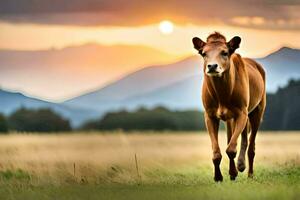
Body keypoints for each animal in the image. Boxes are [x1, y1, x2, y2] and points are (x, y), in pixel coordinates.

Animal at [192, 32, 264, 181]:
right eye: (204, 53)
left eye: (224, 52)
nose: (212, 66)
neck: (222, 95)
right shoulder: (209, 115)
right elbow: (217, 152)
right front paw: (219, 177)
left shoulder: (242, 112)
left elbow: (231, 149)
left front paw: (234, 172)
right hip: (230, 119)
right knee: (237, 138)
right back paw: (239, 166)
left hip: (258, 109)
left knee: (251, 146)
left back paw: (248, 173)